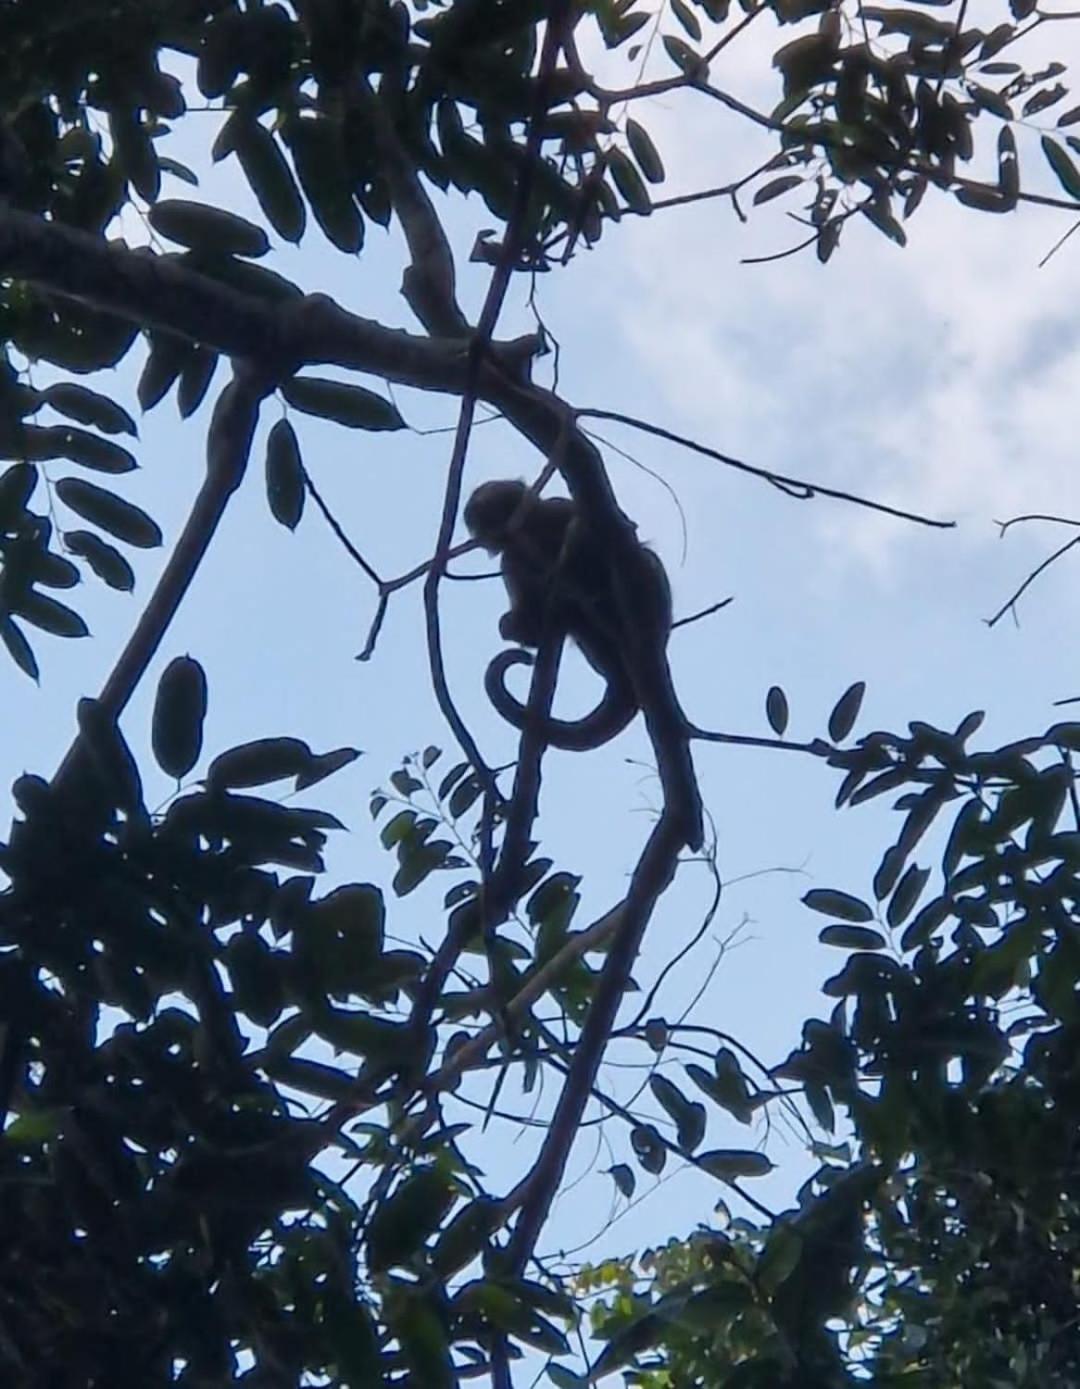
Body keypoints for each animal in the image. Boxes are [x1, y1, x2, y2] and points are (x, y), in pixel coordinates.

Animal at [463, 483, 671, 755]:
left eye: (479, 522)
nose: (479, 539)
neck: (528, 531)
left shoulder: (556, 507)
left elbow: (623, 528)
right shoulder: (511, 557)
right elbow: (530, 630)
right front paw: (517, 626)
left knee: (641, 557)